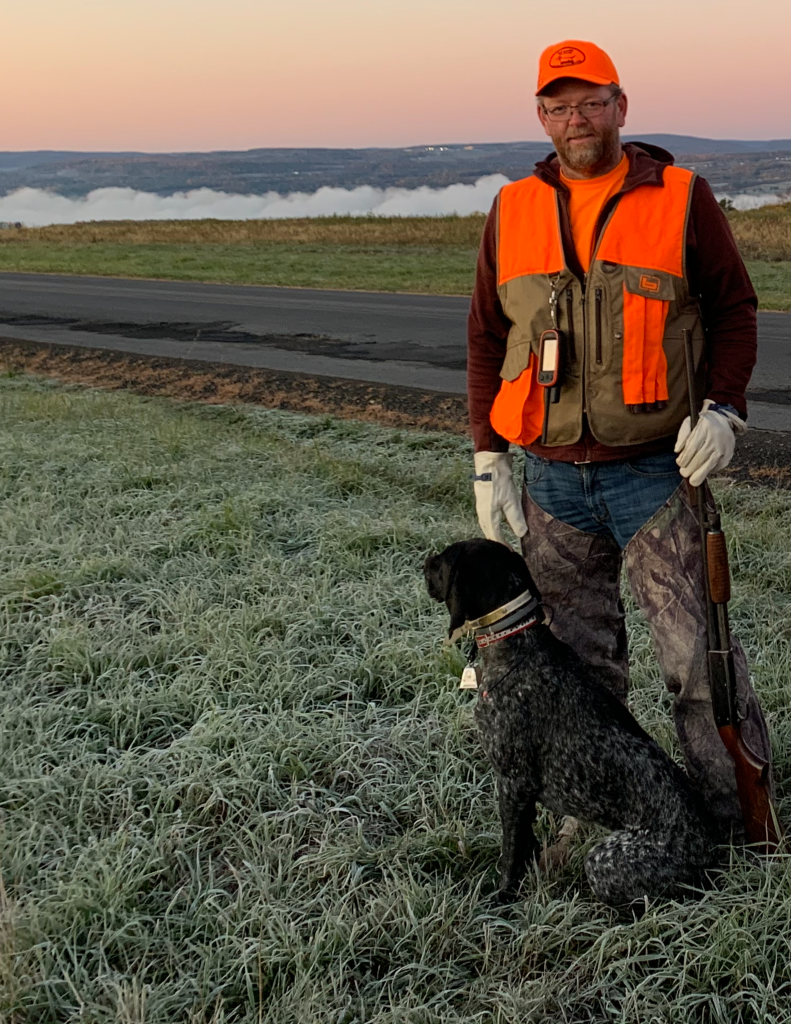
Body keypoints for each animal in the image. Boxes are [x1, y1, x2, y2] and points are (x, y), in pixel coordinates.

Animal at [424, 538, 720, 907]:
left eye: (444, 560)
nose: (423, 565)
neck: (516, 644)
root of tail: (712, 854)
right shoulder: (522, 793)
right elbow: (525, 841)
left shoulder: (513, 781)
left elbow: (511, 850)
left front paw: (504, 897)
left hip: (603, 861)